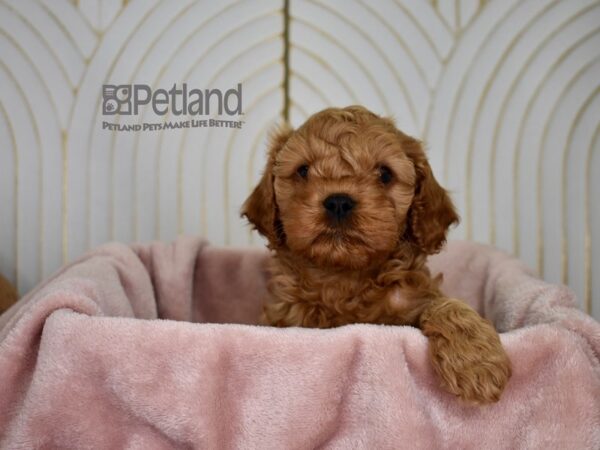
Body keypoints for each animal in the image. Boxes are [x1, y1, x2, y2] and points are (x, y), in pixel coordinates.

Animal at [243, 106, 510, 404]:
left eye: (385, 174)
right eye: (302, 170)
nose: (338, 201)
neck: (345, 278)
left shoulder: (414, 296)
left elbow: (447, 305)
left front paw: (476, 364)